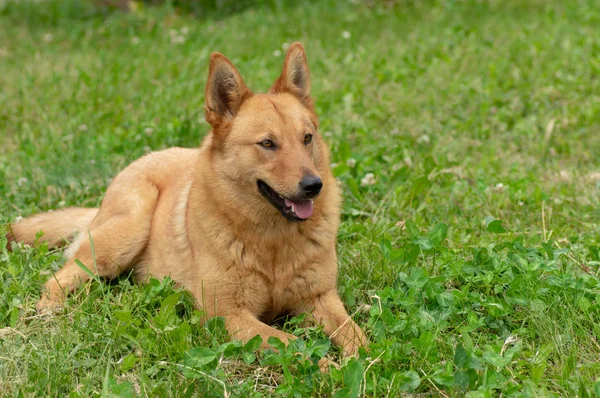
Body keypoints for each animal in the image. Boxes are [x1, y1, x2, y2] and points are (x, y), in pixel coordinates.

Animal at [7, 42, 368, 364]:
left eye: (307, 138)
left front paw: (366, 362)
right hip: (126, 234)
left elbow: (356, 335)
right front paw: (326, 366)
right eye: (267, 144)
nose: (314, 186)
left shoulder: (320, 298)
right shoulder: (228, 314)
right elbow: (290, 343)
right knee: (62, 274)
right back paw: (51, 305)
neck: (273, 241)